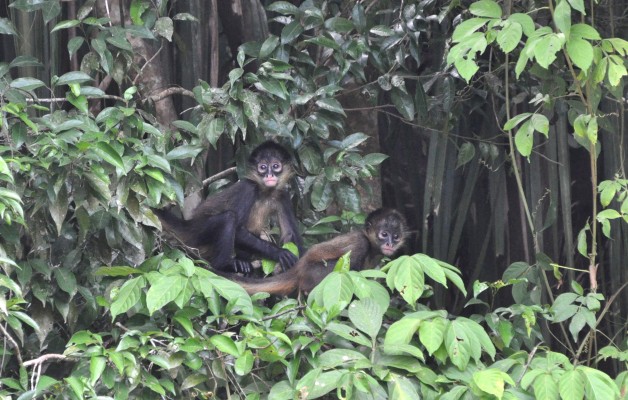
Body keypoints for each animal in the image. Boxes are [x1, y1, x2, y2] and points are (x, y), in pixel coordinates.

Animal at [156, 141, 306, 276]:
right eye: (263, 167)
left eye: (275, 166)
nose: (270, 175)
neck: (265, 192)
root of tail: (188, 225)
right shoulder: (248, 188)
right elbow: (238, 230)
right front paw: (279, 252)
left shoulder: (282, 196)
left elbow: (290, 235)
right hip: (197, 233)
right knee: (228, 218)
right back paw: (225, 265)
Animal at [223, 209, 410, 296]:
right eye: (384, 234)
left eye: (396, 236)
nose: (389, 243)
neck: (371, 248)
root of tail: (299, 268)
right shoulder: (360, 243)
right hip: (314, 273)